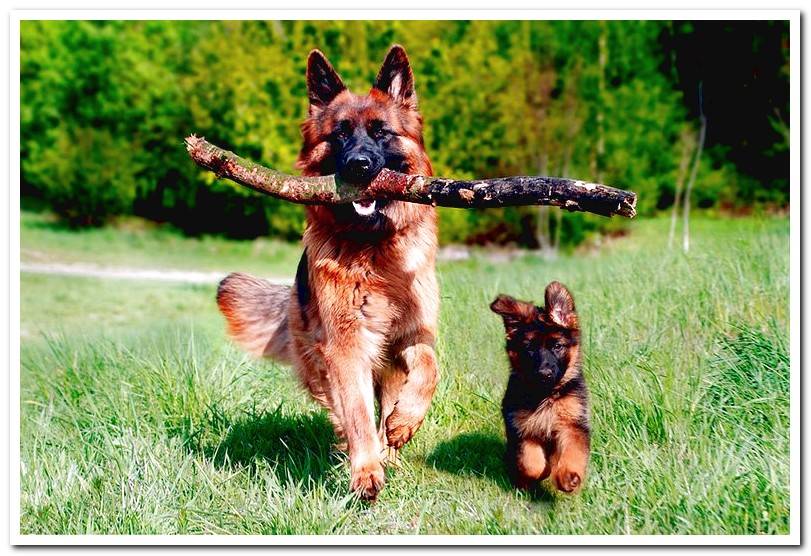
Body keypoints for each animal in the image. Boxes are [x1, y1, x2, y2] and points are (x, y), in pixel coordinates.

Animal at [217, 46, 438, 500]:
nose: (359, 166)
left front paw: (405, 422)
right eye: (339, 135)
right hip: (320, 358)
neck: (373, 248)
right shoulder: (346, 345)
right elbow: (357, 411)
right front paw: (365, 471)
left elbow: (429, 368)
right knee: (344, 408)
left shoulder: (412, 333)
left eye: (381, 133)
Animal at [488, 284, 588, 494]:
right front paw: (542, 472)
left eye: (557, 346)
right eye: (529, 348)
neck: (545, 395)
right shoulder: (522, 428)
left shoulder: (572, 424)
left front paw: (567, 477)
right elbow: (531, 462)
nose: (544, 374)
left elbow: (572, 452)